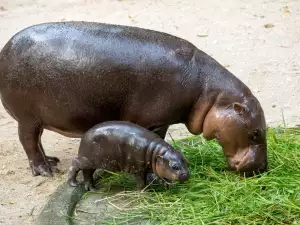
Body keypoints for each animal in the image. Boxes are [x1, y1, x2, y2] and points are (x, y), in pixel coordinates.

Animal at [0, 22, 268, 178]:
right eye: (256, 132)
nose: (263, 169)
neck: (210, 94)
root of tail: (6, 49)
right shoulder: (155, 121)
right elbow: (156, 140)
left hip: (36, 118)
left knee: (37, 141)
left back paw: (52, 162)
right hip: (28, 118)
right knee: (29, 142)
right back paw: (44, 171)